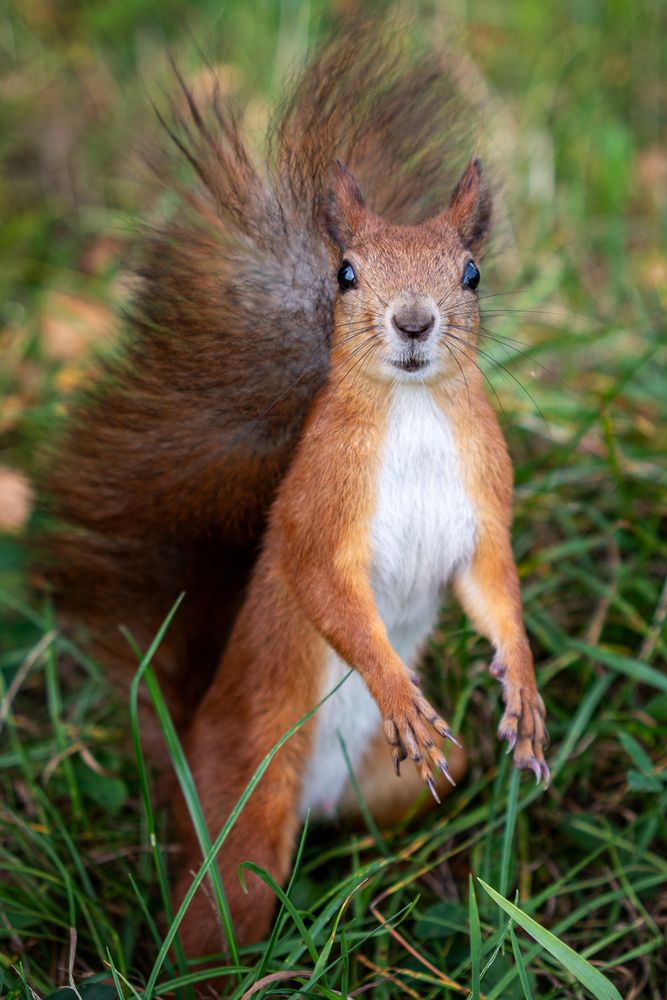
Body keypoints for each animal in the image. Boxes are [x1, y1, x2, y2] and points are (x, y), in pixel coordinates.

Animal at [37, 21, 548, 959]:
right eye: (345, 273)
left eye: (470, 274)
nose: (412, 322)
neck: (413, 414)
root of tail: (187, 745)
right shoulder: (319, 504)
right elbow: (323, 589)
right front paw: (394, 689)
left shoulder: (481, 509)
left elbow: (493, 588)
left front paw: (522, 687)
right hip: (245, 814)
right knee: (216, 921)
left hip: (401, 782)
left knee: (385, 806)